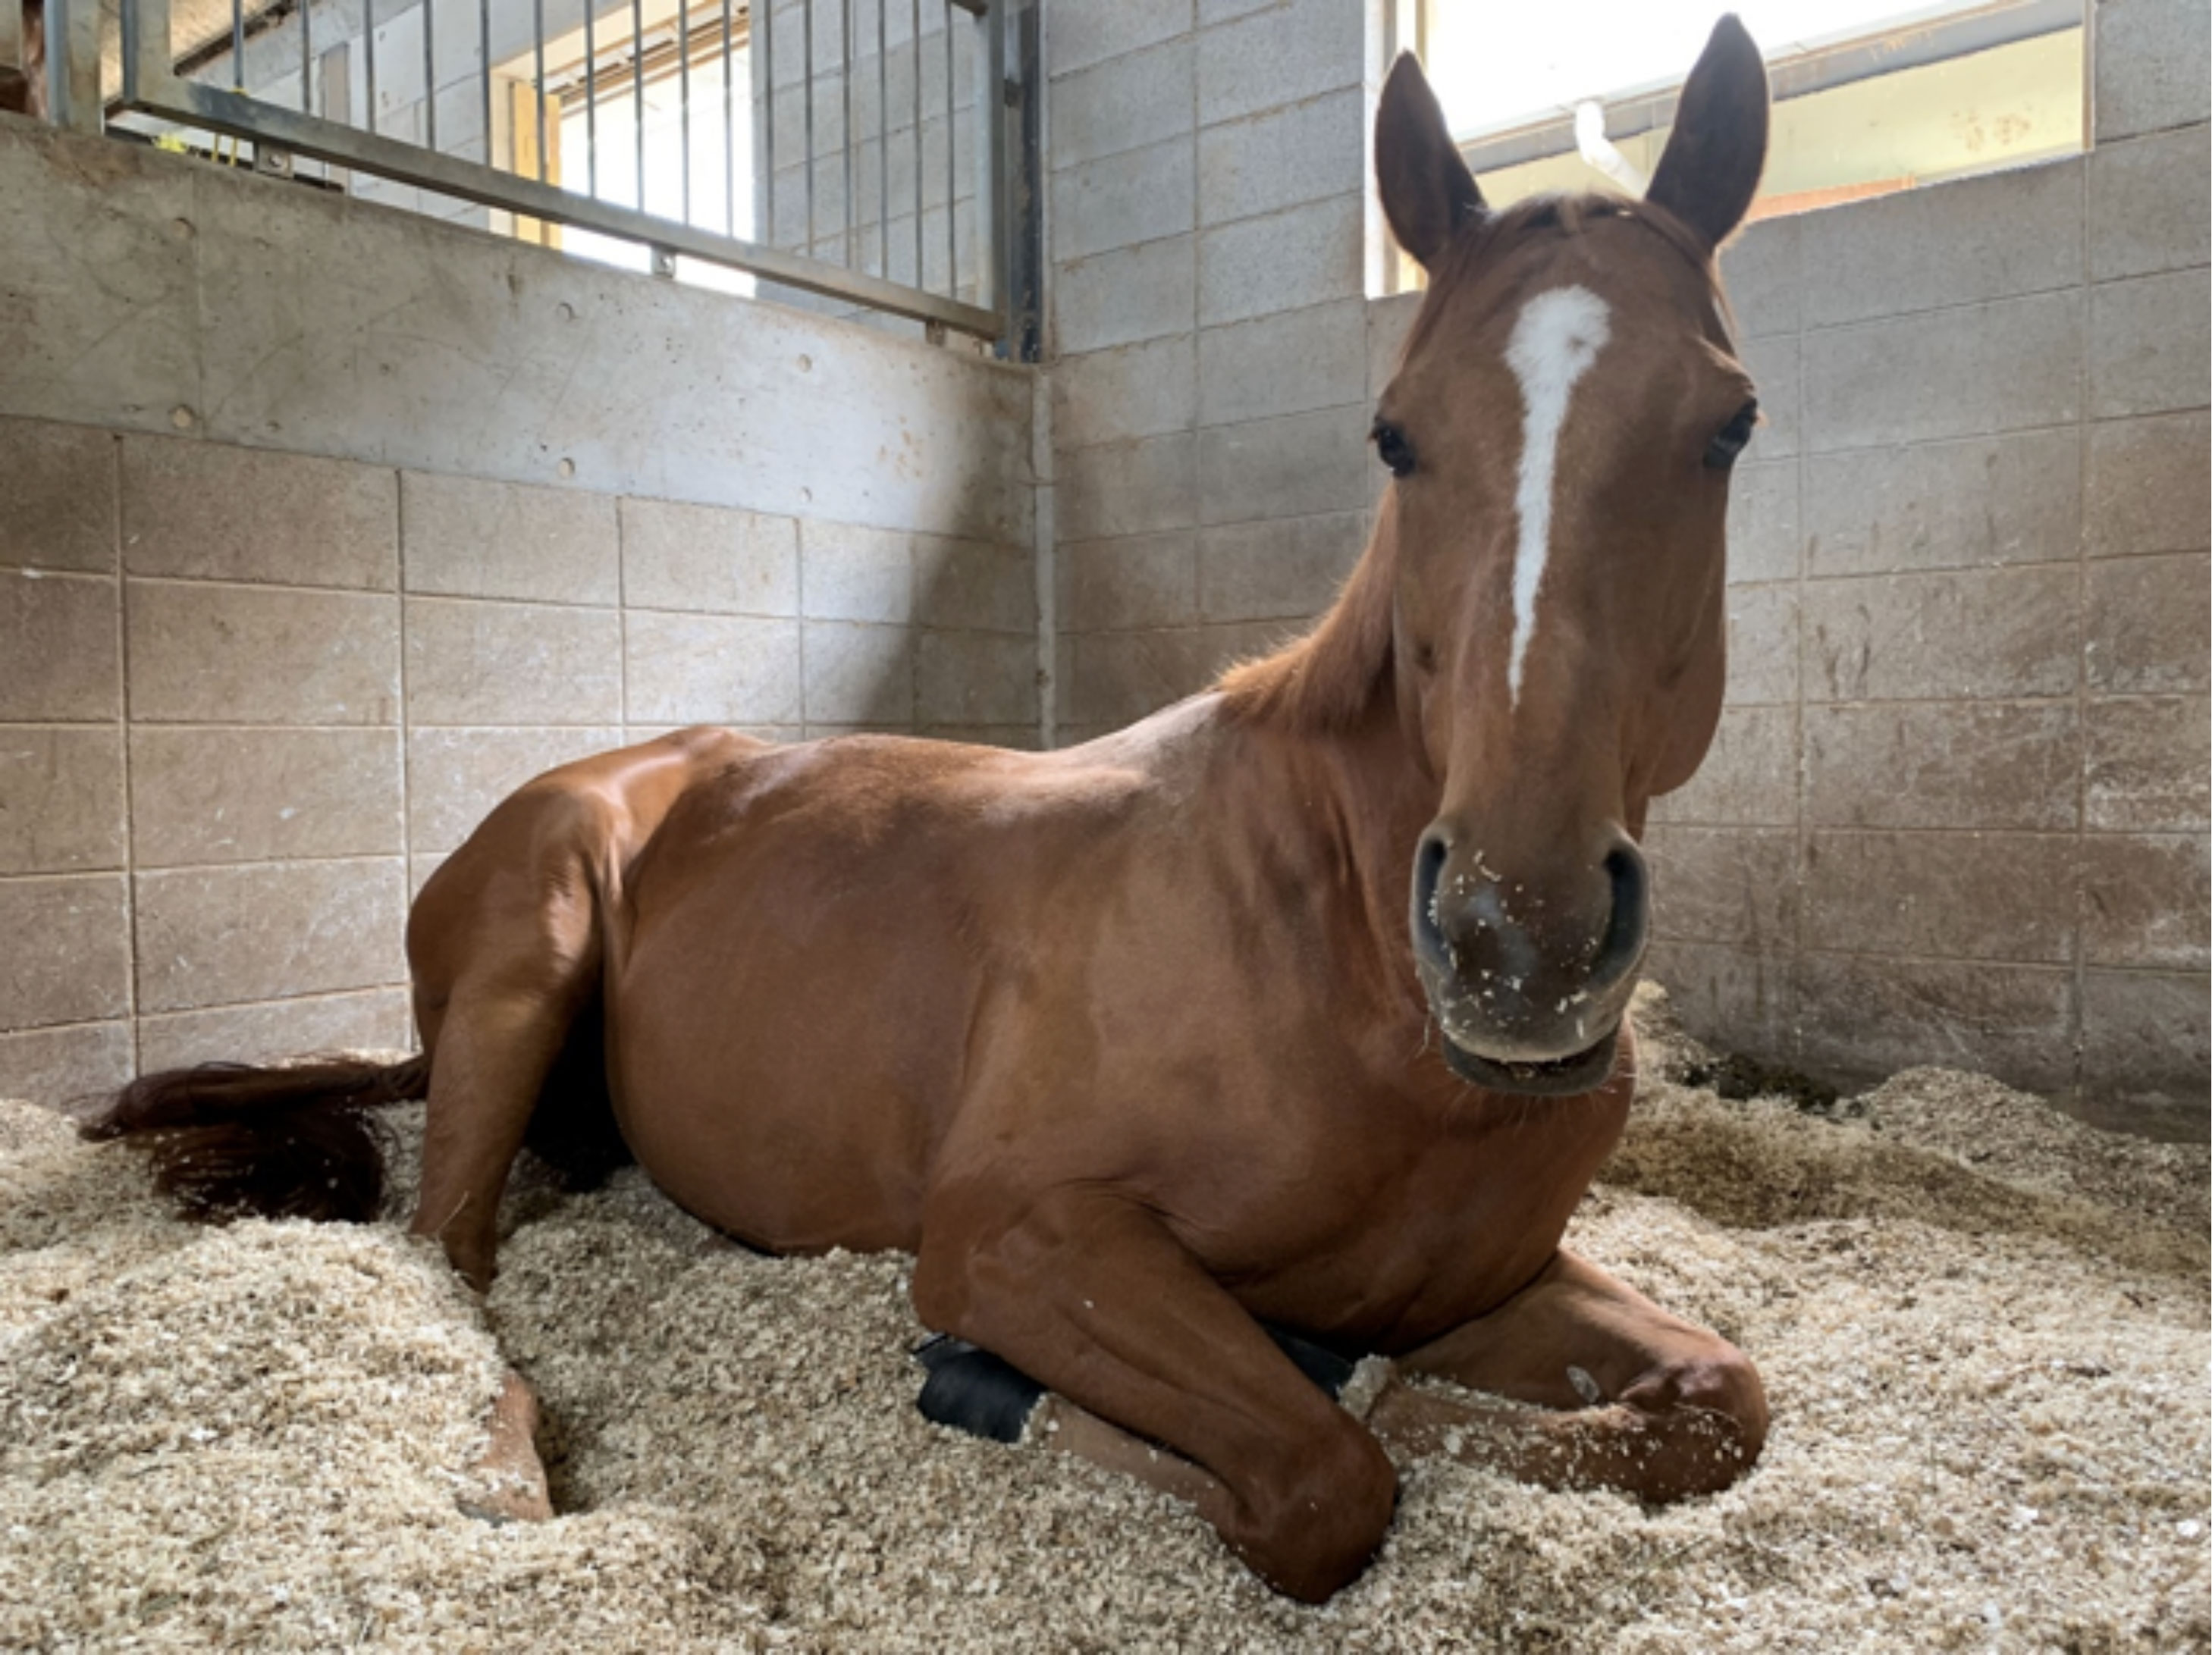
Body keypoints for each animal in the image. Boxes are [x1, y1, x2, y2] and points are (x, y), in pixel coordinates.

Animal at [81, 19, 1778, 1601]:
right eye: (1395, 432)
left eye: (1729, 425)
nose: (1520, 939)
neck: (1335, 948)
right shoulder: (1016, 1234)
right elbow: (1323, 1475)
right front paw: (1020, 1397)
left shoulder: (1490, 1279)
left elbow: (1713, 1392)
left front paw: (1432, 1404)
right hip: (527, 957)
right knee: (452, 1258)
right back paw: (503, 1473)